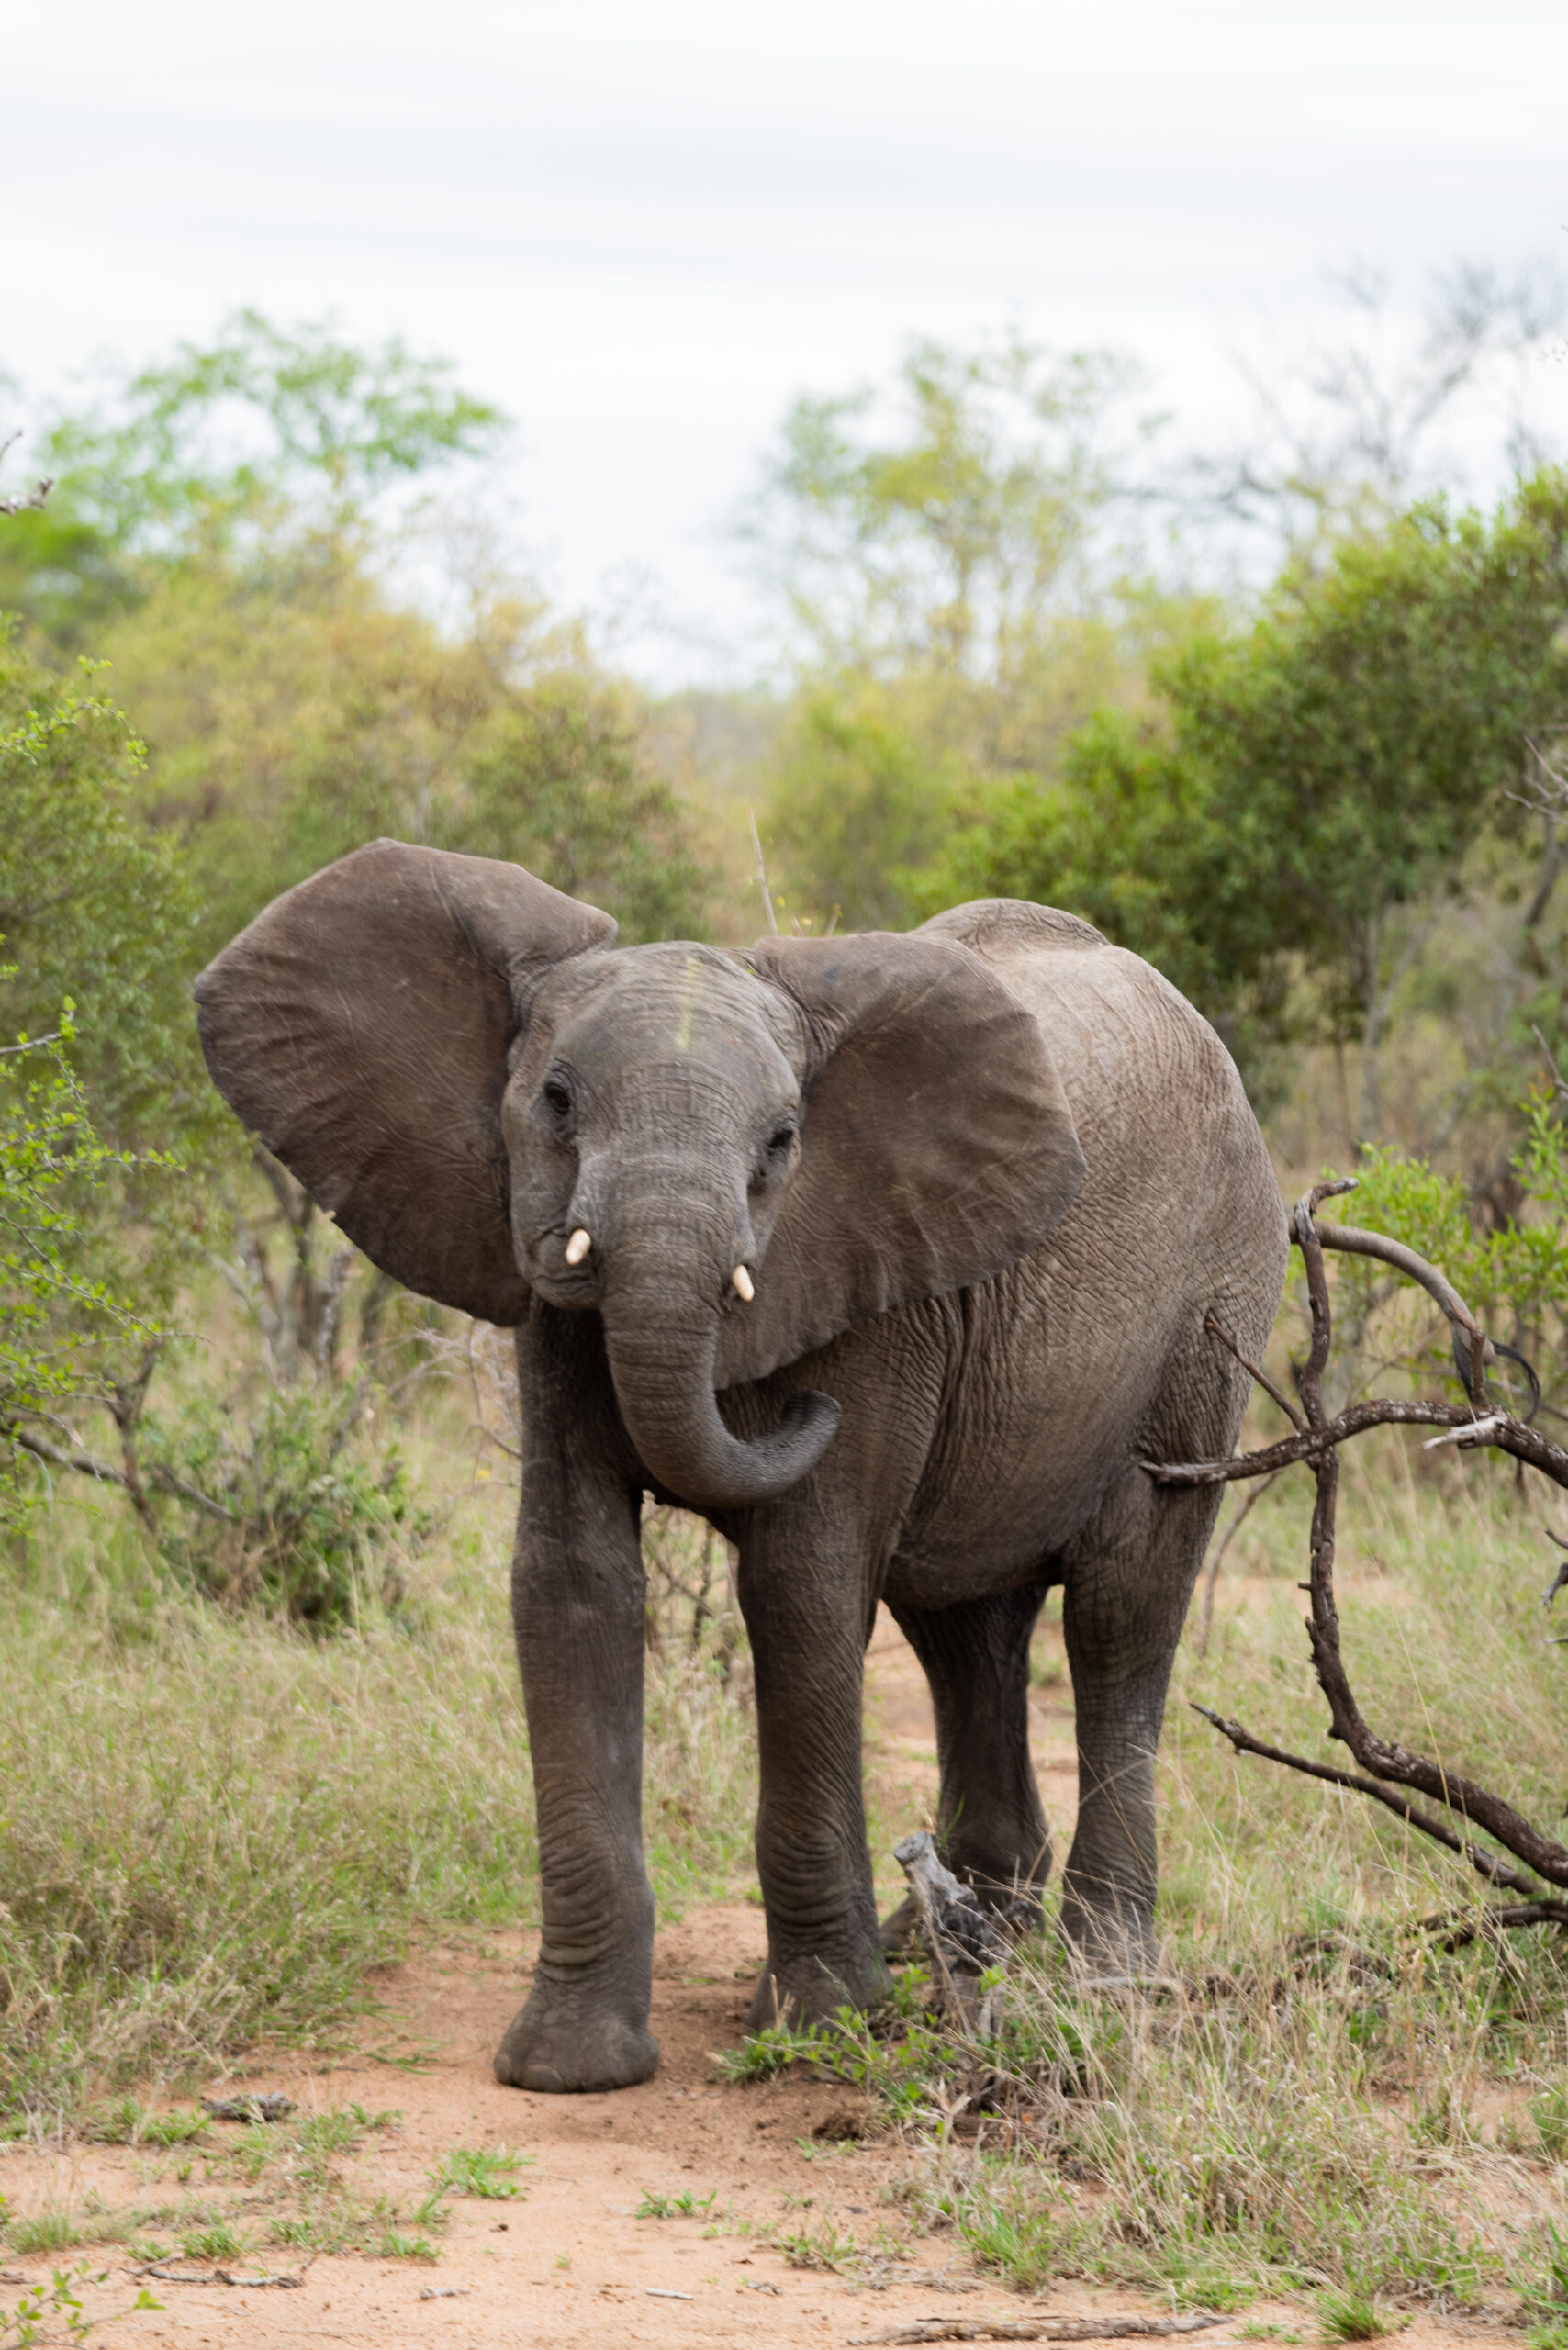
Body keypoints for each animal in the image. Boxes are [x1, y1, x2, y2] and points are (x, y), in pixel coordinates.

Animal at [196, 841, 1297, 2096]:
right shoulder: (548, 1302)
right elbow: (571, 1582)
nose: (790, 1404)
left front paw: (822, 2027)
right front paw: (572, 2067)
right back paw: (951, 1937)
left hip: (1211, 1306)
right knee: (961, 1621)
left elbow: (799, 1589)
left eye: (780, 1144)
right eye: (555, 1101)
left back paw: (1096, 1973)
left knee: (1121, 1606)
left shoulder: (880, 1283)